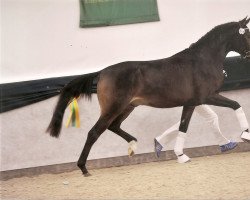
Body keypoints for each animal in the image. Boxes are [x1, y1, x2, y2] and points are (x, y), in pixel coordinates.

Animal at [47, 18, 250, 176]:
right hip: (114, 107)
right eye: (247, 34)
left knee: (114, 126)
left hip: (127, 107)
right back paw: (84, 168)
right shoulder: (207, 96)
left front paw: (180, 153)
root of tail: (103, 72)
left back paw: (133, 145)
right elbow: (235, 105)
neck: (202, 61)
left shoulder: (193, 102)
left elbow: (186, 125)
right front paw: (245, 135)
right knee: (94, 132)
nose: (249, 55)